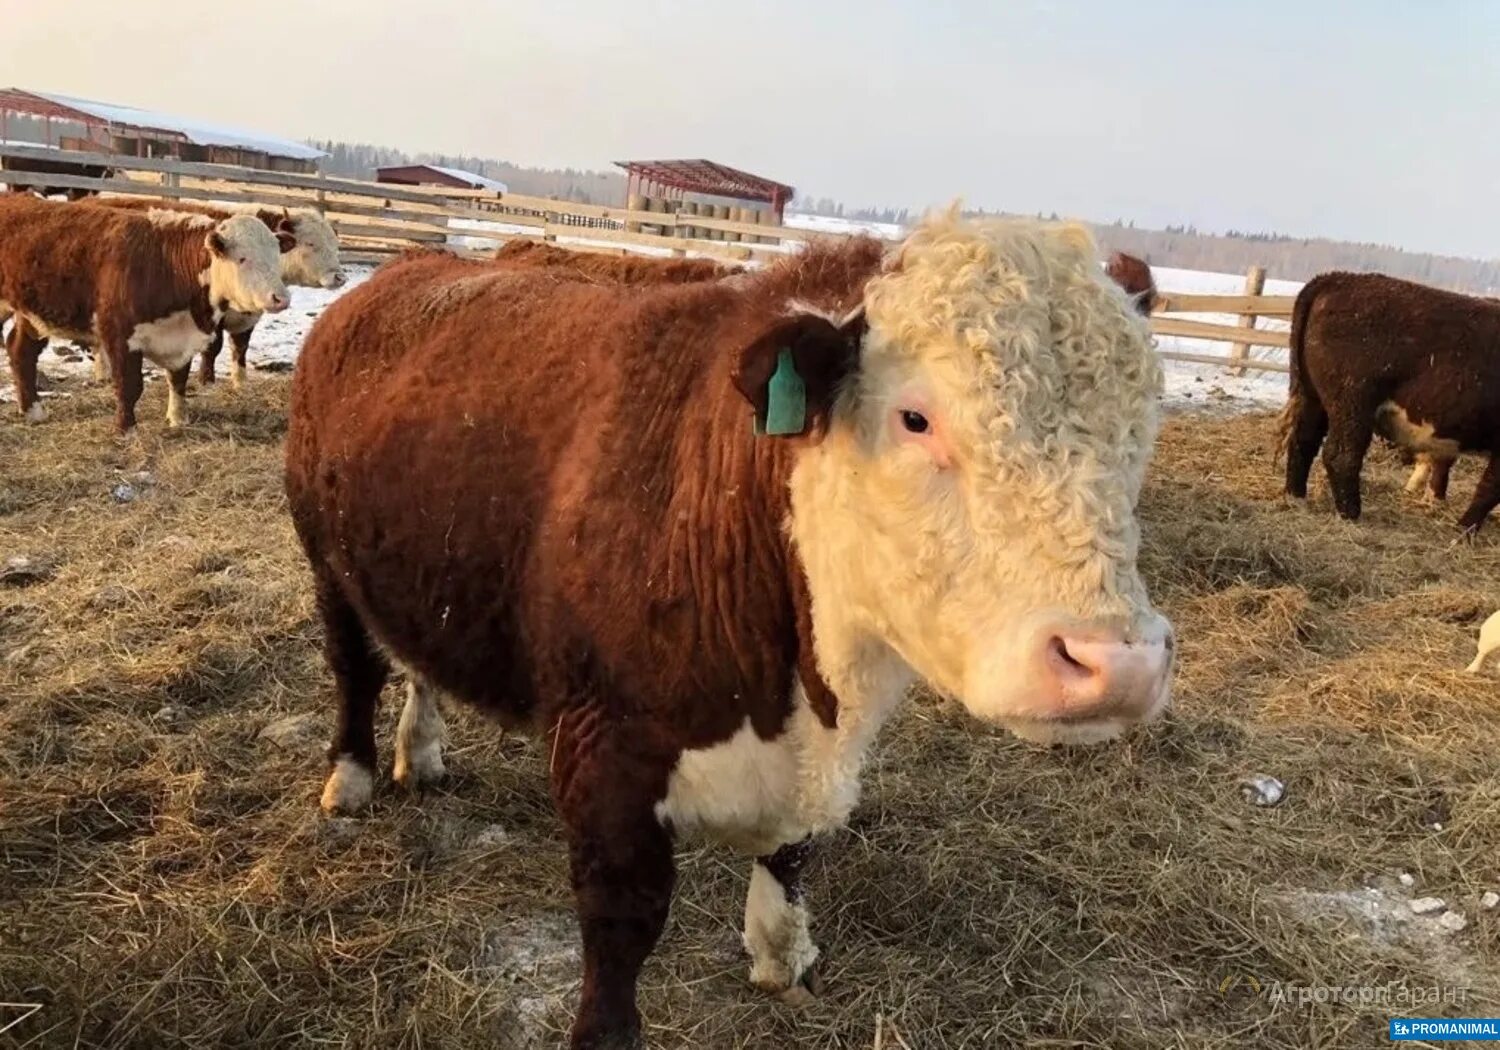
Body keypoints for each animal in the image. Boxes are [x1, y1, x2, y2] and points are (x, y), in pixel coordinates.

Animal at [1, 193, 292, 432]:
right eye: (243, 258)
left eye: (276, 256)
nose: (281, 298)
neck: (166, 263)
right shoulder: (119, 335)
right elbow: (129, 385)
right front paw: (126, 429)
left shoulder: (181, 337)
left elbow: (178, 380)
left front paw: (178, 418)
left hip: (32, 315)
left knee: (21, 351)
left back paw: (34, 411)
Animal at [286, 216, 1176, 1050]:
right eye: (916, 418)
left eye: (1140, 425)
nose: (1119, 663)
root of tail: (401, 271)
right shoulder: (602, 747)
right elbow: (624, 918)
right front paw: (606, 1028)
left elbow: (794, 852)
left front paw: (782, 955)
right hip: (327, 560)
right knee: (355, 665)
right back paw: (353, 777)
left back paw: (423, 751)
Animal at [1278, 270, 1500, 534]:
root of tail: (1336, 278)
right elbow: (1488, 490)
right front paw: (1464, 530)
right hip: (1353, 403)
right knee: (1341, 455)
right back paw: (1351, 514)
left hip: (1312, 396)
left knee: (1303, 441)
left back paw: (1296, 498)